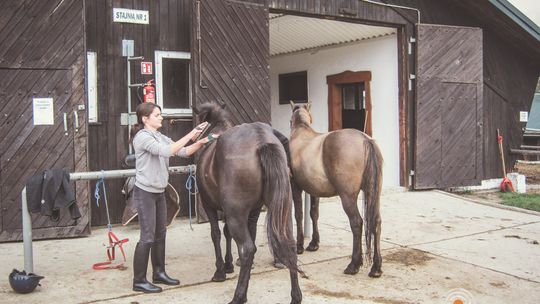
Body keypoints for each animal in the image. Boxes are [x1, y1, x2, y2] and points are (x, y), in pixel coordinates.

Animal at [194, 102, 304, 304]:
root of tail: (261, 140)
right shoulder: (252, 211)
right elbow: (230, 233)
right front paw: (230, 265)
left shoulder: (210, 205)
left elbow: (217, 234)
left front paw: (220, 271)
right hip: (282, 210)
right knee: (289, 245)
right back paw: (295, 296)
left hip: (235, 214)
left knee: (247, 249)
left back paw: (239, 296)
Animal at [292, 102, 384, 278]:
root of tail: (365, 139)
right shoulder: (313, 191)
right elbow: (313, 214)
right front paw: (313, 243)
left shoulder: (296, 188)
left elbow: (299, 215)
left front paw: (299, 246)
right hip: (373, 194)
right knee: (375, 222)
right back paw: (376, 268)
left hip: (347, 197)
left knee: (357, 222)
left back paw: (354, 265)